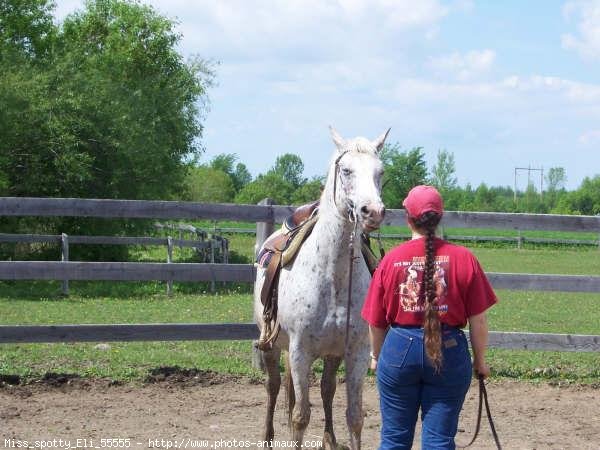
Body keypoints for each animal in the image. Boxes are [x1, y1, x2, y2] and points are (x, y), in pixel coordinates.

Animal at [253, 126, 390, 450]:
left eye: (380, 172)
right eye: (346, 170)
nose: (373, 212)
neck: (334, 277)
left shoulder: (356, 352)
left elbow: (354, 416)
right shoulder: (300, 351)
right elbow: (300, 417)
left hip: (331, 353)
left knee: (327, 389)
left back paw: (330, 438)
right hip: (271, 345)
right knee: (273, 387)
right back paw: (267, 438)